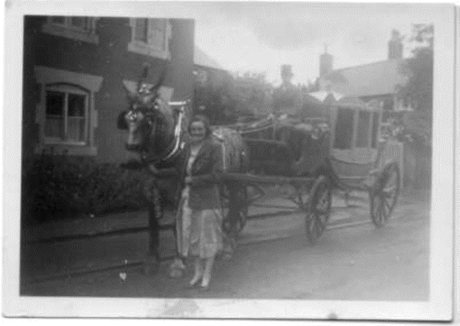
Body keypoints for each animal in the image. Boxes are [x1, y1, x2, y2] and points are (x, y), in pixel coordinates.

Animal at [117, 67, 250, 276]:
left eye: (147, 118)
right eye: (128, 117)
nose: (131, 145)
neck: (169, 146)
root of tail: (237, 134)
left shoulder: (180, 185)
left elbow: (176, 222)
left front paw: (179, 261)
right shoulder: (151, 184)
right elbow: (152, 221)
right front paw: (152, 259)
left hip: (235, 181)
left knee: (235, 207)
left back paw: (228, 246)